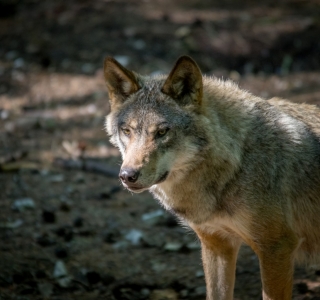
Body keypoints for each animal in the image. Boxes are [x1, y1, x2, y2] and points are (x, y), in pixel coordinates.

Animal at [103, 55, 320, 298]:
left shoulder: (276, 249)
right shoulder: (217, 244)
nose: (127, 175)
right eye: (127, 131)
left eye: (162, 132)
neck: (238, 161)